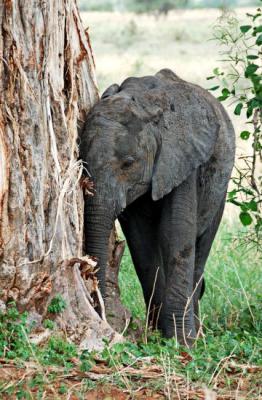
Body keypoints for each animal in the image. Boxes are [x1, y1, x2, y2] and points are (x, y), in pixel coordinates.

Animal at [79, 69, 235, 346]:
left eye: (129, 163)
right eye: (81, 160)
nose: (103, 311)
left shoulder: (182, 159)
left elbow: (174, 233)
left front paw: (183, 342)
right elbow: (142, 241)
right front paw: (158, 334)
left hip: (221, 186)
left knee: (202, 248)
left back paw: (196, 331)